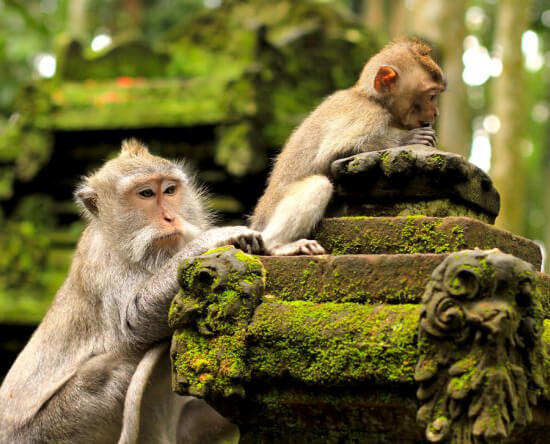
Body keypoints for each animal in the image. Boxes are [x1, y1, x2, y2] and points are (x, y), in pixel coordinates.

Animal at [0, 140, 266, 444]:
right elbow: (133, 323)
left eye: (169, 190)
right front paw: (213, 239)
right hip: (53, 428)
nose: (170, 217)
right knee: (117, 364)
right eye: (146, 194)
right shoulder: (105, 264)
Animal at [252, 40, 446, 255]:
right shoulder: (368, 115)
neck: (370, 98)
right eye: (431, 96)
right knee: (319, 184)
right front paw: (408, 138)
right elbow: (332, 153)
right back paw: (277, 245)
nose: (436, 113)